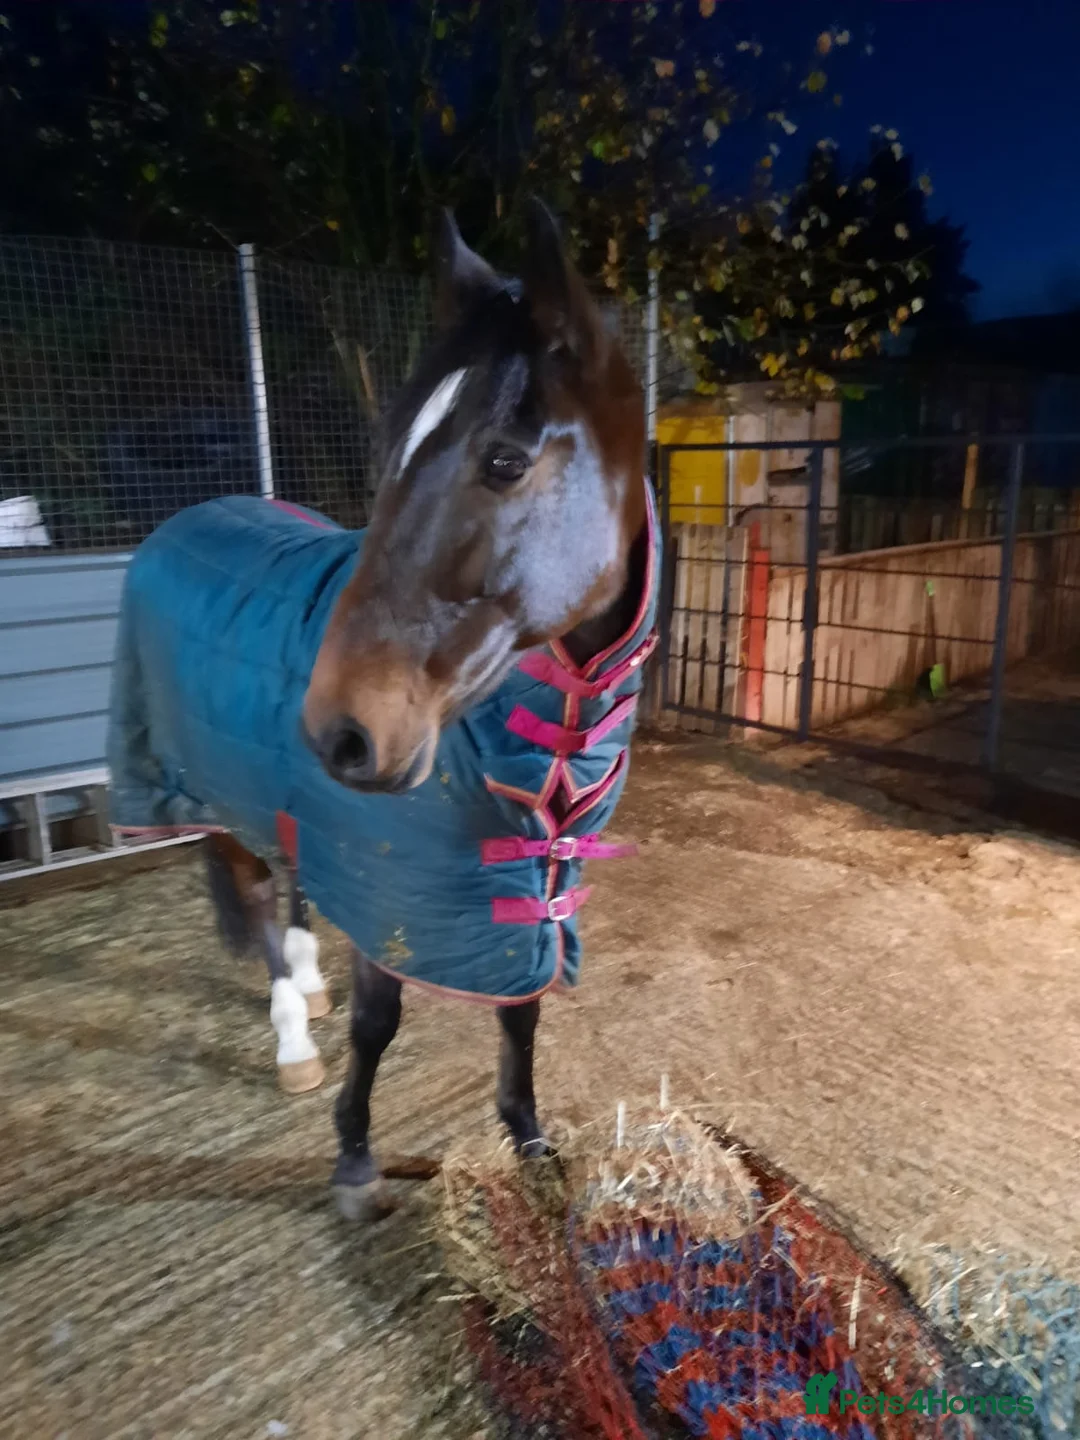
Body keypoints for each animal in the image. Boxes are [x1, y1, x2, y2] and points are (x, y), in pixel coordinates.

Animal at [107, 199, 657, 1221]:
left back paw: (305, 981)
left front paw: (532, 1148)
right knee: (255, 893)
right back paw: (293, 1031)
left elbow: (520, 1012)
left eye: (504, 460)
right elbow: (379, 1021)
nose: (340, 731)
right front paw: (356, 1161)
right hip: (211, 794)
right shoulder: (391, 876)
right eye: (387, 457)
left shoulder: (523, 885)